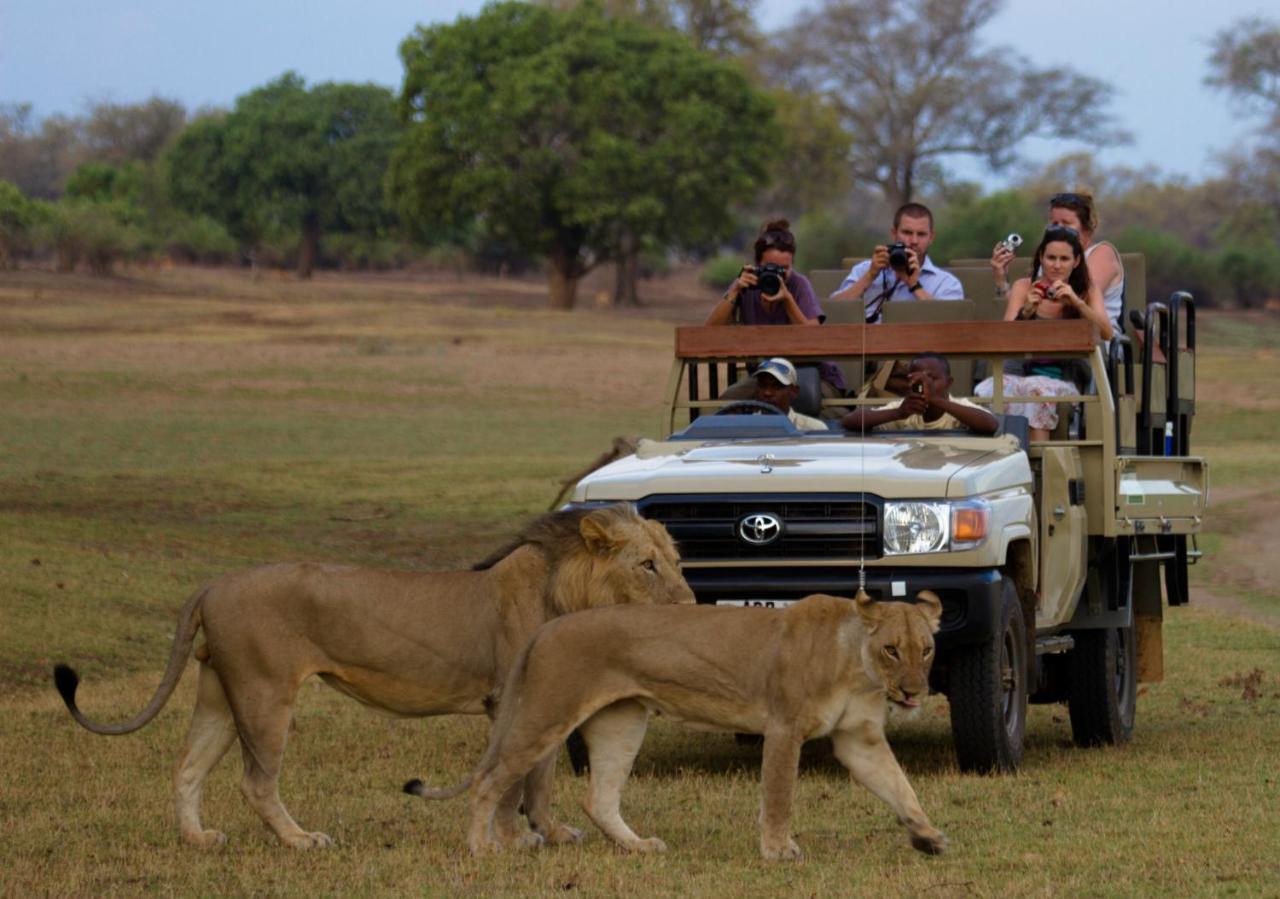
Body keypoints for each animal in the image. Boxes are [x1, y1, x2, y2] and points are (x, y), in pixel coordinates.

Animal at [52, 507, 691, 850]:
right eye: (647, 565)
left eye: (677, 561)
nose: (689, 605)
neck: (566, 592)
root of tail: (213, 583)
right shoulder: (509, 699)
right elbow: (514, 781)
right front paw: (513, 841)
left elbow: (540, 778)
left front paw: (550, 834)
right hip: (264, 692)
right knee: (254, 782)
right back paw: (301, 840)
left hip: (218, 692)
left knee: (186, 770)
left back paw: (198, 839)